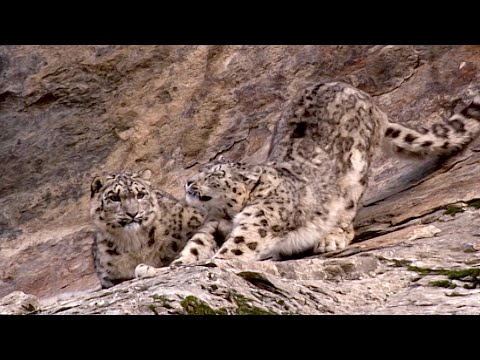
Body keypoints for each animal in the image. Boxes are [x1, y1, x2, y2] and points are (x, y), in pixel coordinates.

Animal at [161, 80, 480, 264]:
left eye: (214, 174)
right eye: (201, 170)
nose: (188, 181)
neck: (229, 215)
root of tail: (366, 97)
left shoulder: (257, 223)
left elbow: (235, 249)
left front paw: (208, 262)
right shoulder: (213, 224)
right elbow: (196, 245)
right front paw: (172, 266)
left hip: (355, 175)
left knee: (347, 213)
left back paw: (331, 238)